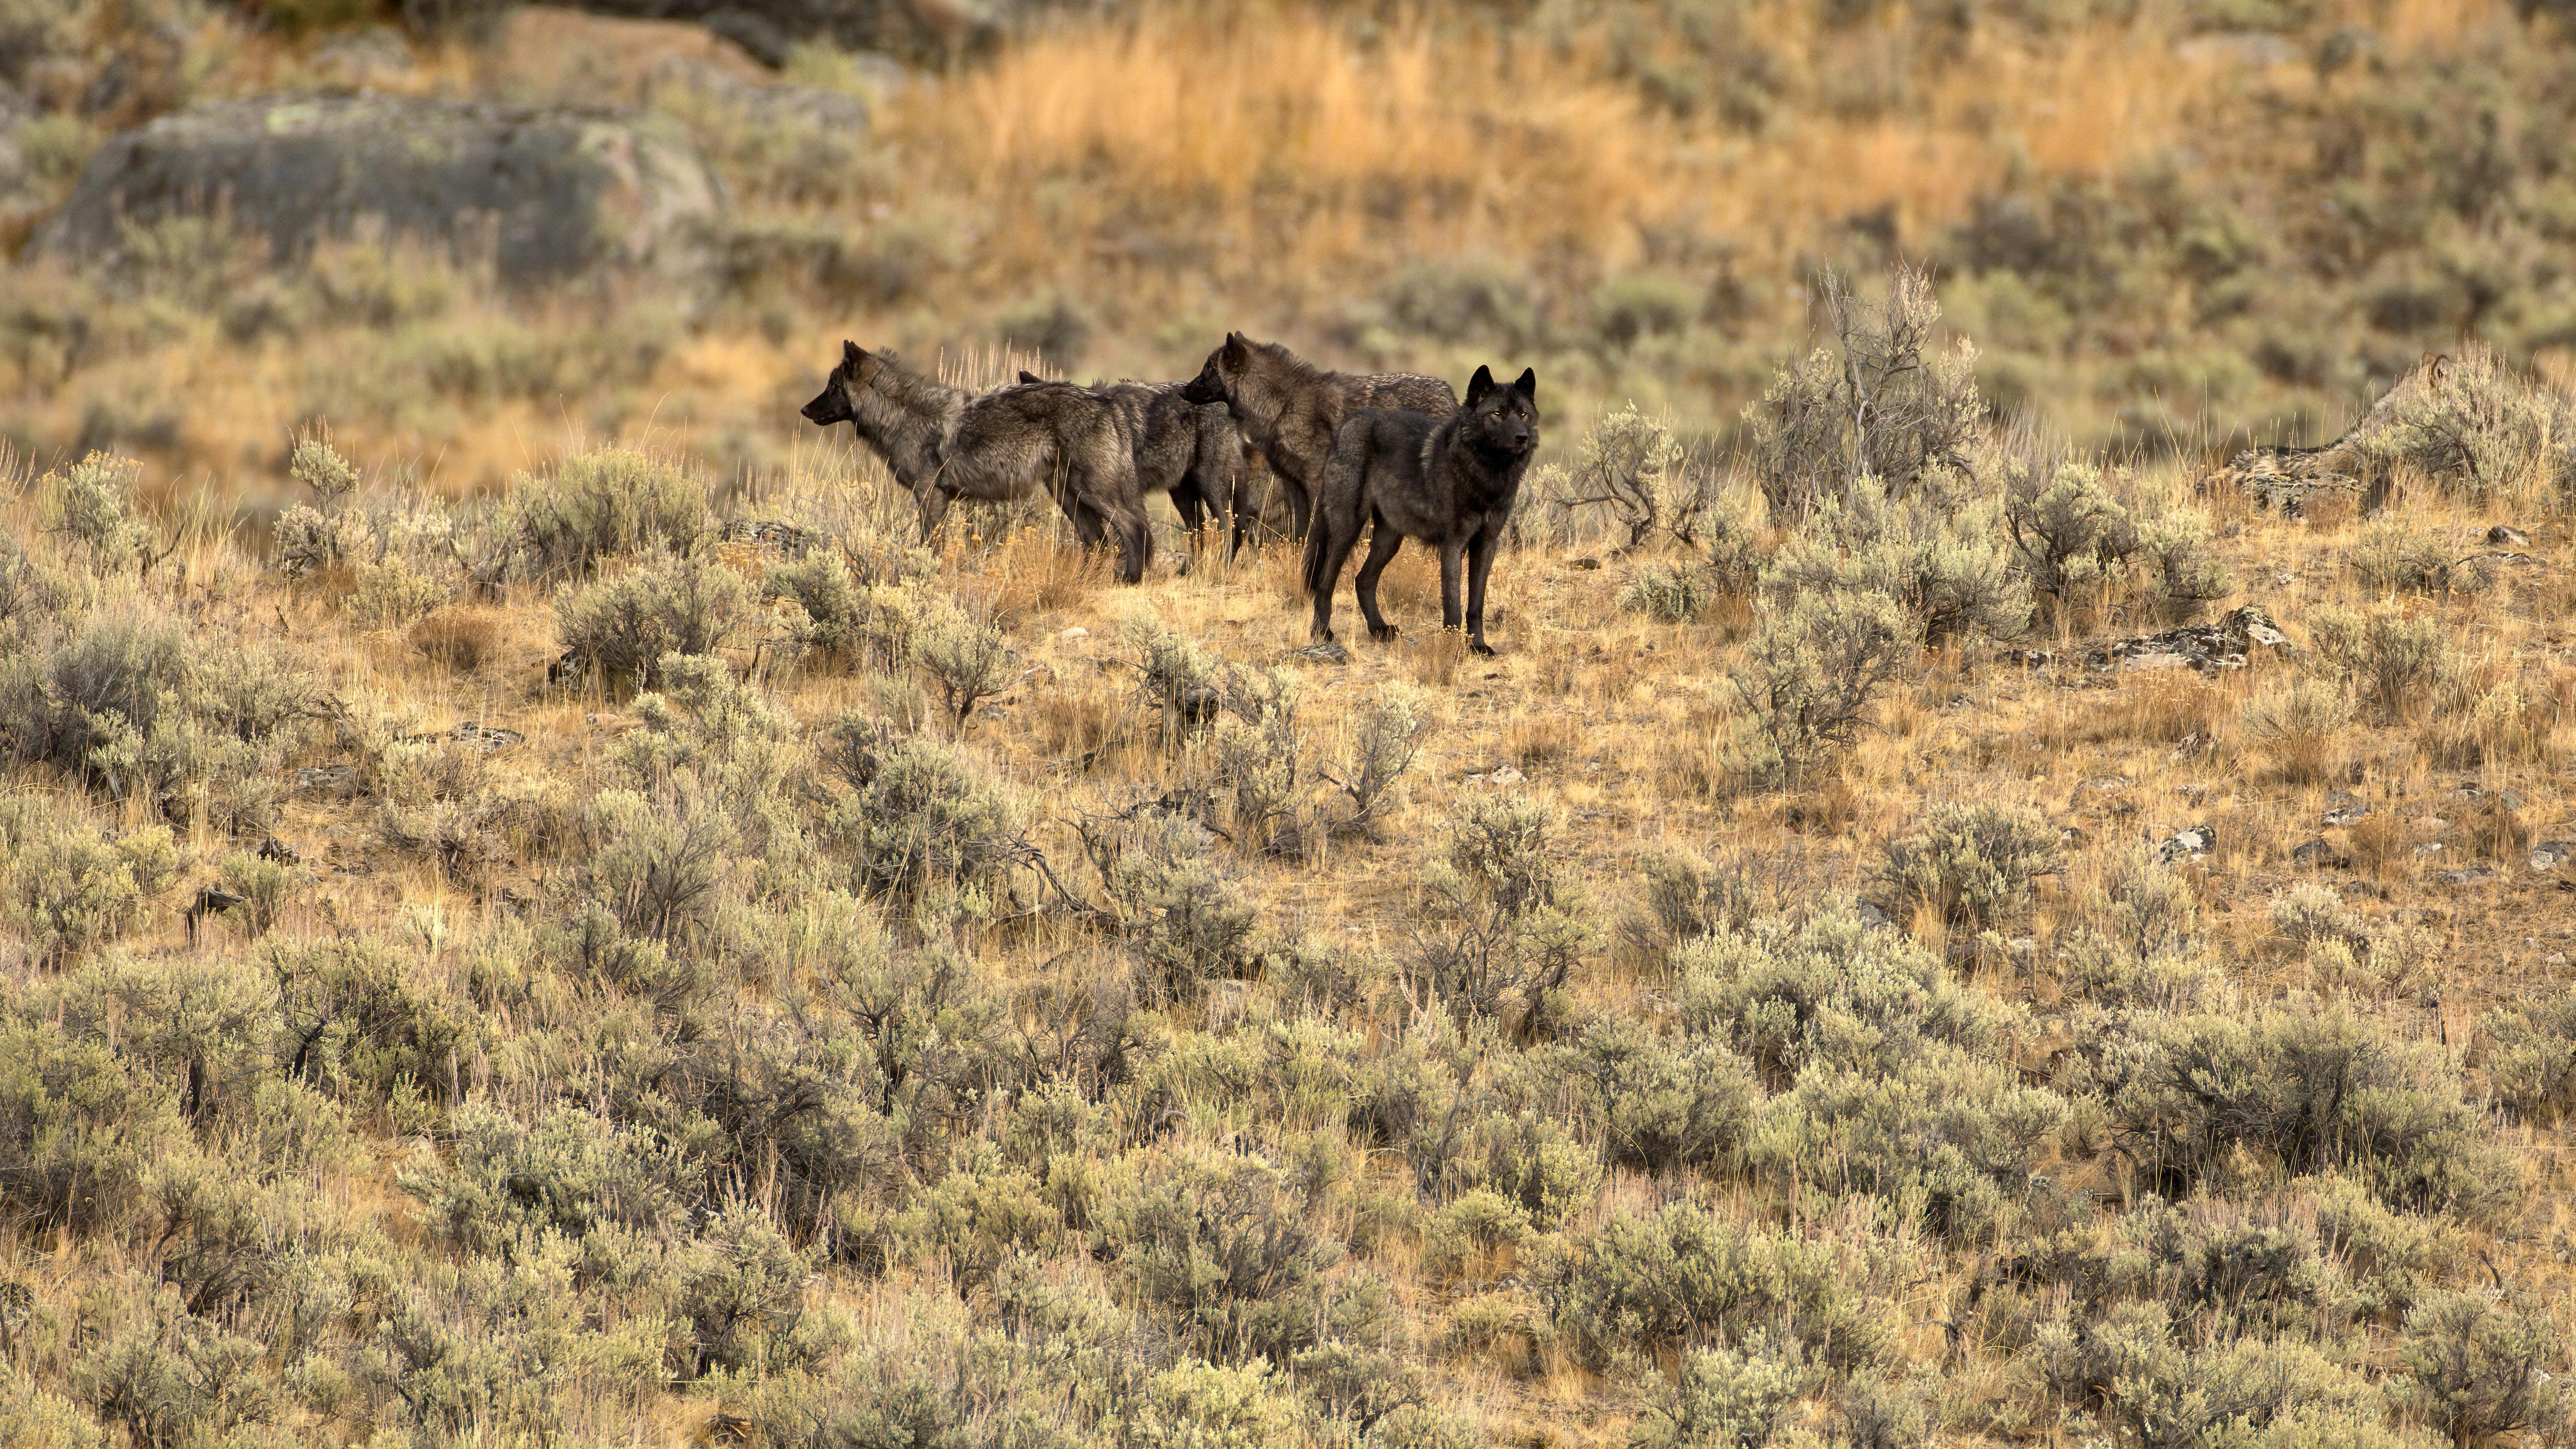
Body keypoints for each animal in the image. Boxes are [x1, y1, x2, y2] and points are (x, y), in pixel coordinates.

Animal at [800, 342, 1154, 582]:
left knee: (1135, 529)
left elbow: (930, 546)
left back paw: (1131, 580)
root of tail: (1107, 401)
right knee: (1097, 541)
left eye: (832, 387)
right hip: (1068, 495)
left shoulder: (930, 495)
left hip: (1091, 492)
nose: (804, 410)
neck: (904, 417)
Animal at [1020, 370, 1251, 558]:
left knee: (1226, 530)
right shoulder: (1070, 501)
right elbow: (1093, 543)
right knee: (1199, 533)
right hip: (1183, 496)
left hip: (1209, 485)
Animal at [1179, 333, 1457, 539]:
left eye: (1208, 369)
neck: (1284, 406)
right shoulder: (1292, 483)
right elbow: (1300, 532)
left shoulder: (1316, 482)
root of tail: (1449, 393)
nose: (1182, 390)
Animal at [1302, 365, 1538, 655]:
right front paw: (1451, 649)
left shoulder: (1486, 544)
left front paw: (1479, 647)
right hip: (1349, 528)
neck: (1484, 475)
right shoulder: (1453, 545)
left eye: (1523, 414)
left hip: (1389, 540)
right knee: (1325, 582)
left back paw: (1380, 630)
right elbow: (1453, 606)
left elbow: (1475, 606)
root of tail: (1348, 423)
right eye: (1497, 414)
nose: (1522, 437)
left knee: (1363, 580)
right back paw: (1322, 632)